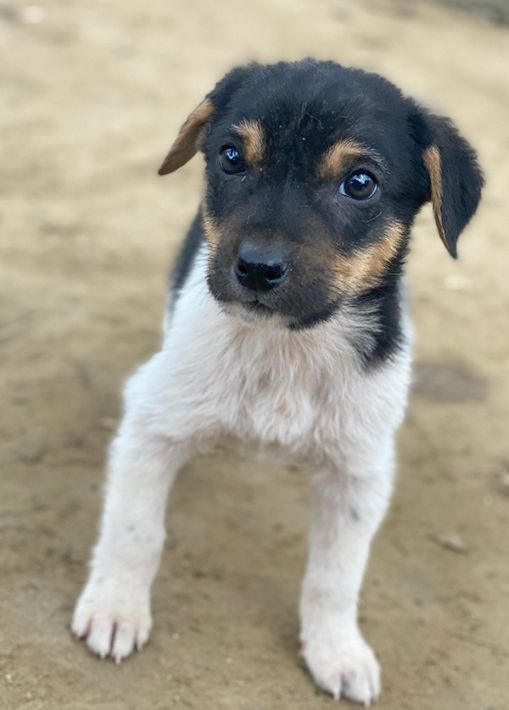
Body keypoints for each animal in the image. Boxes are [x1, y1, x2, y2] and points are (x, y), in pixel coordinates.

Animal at [71, 59, 483, 704]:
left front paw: (337, 651)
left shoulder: (360, 473)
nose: (257, 269)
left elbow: (335, 577)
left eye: (360, 183)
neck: (286, 347)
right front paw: (117, 608)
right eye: (232, 157)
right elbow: (136, 528)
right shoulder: (153, 420)